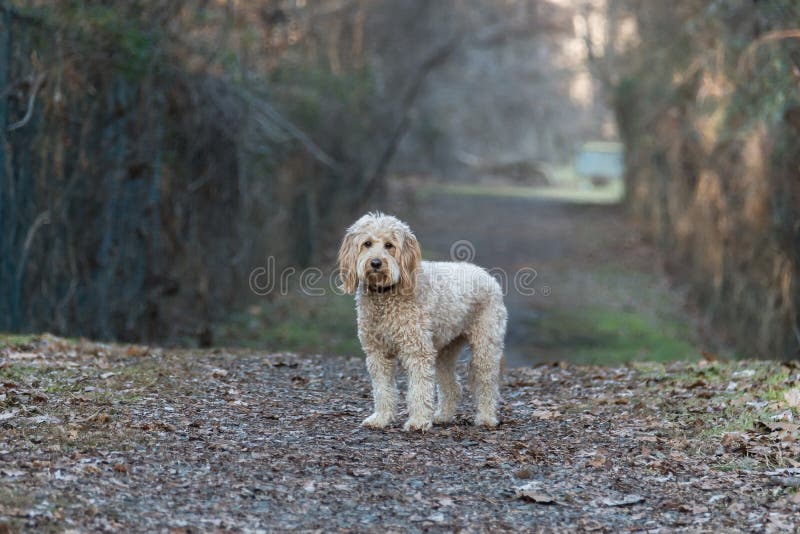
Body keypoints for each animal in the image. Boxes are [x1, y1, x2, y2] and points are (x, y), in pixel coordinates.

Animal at [338, 213, 506, 432]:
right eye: (367, 243)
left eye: (389, 245)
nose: (375, 263)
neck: (385, 295)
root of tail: (486, 274)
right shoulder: (377, 353)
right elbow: (382, 390)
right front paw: (381, 418)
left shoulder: (417, 351)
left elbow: (419, 389)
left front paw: (417, 421)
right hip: (444, 350)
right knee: (453, 387)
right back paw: (443, 416)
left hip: (485, 346)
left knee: (487, 385)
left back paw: (486, 418)